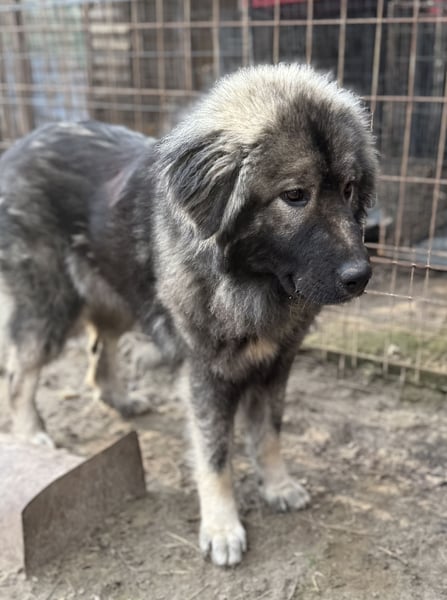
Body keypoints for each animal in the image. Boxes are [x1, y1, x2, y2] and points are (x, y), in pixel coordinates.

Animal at [0, 64, 377, 566]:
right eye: (296, 195)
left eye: (349, 189)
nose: (361, 276)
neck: (248, 281)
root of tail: (19, 144)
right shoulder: (207, 374)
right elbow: (215, 456)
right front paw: (222, 527)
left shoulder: (275, 366)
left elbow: (268, 434)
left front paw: (277, 485)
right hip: (48, 307)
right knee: (19, 374)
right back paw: (30, 435)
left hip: (118, 297)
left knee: (101, 351)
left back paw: (119, 399)